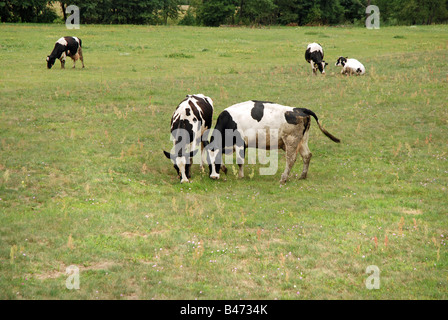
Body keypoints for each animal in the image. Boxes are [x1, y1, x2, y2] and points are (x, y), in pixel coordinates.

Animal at [204, 100, 340, 185]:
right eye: (209, 163)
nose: (214, 177)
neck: (228, 121)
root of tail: (300, 109)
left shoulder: (240, 142)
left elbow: (239, 161)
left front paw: (240, 176)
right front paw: (224, 168)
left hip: (290, 140)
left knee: (291, 159)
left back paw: (284, 178)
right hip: (302, 140)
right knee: (307, 155)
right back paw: (303, 175)